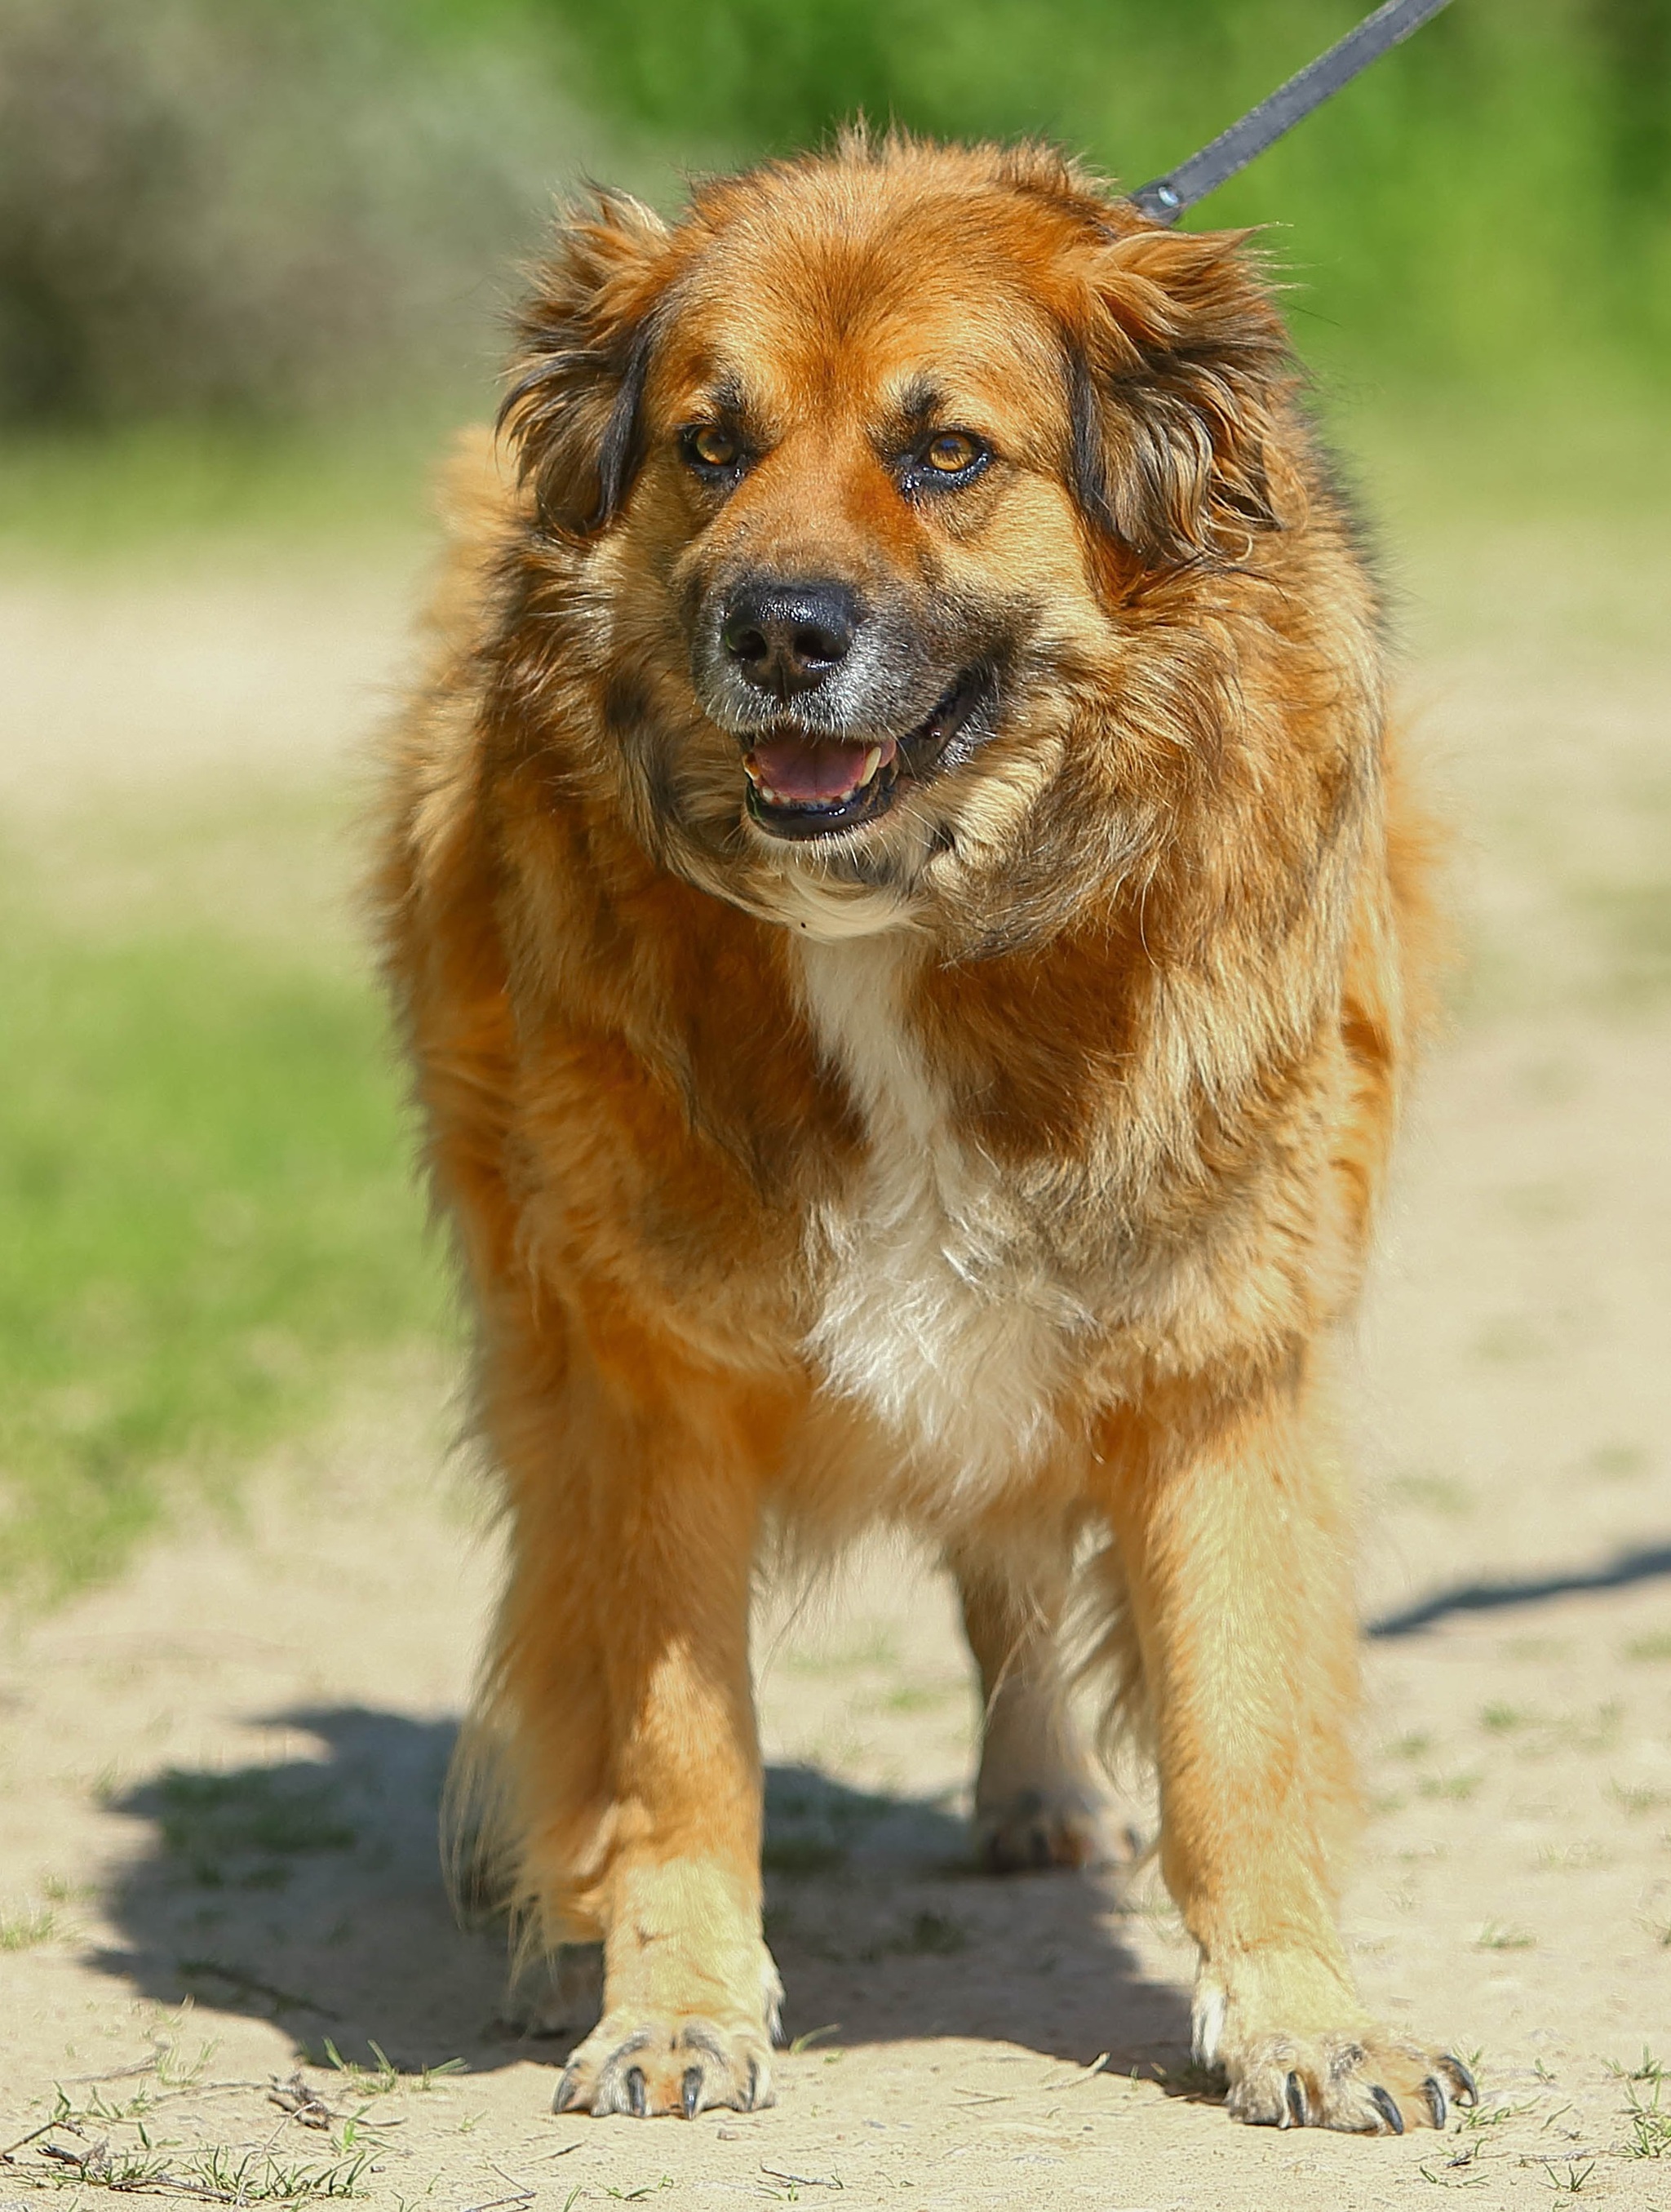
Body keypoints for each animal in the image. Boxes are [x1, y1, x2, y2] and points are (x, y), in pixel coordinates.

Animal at [371, 129, 1469, 2132]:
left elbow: (1240, 1720)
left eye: (945, 451)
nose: (775, 630)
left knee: (1014, 1562)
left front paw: (1305, 2012)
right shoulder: (643, 1368)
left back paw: (1036, 1788)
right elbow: (674, 1735)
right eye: (709, 442)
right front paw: (673, 1999)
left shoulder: (1213, 1333)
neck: (901, 912)